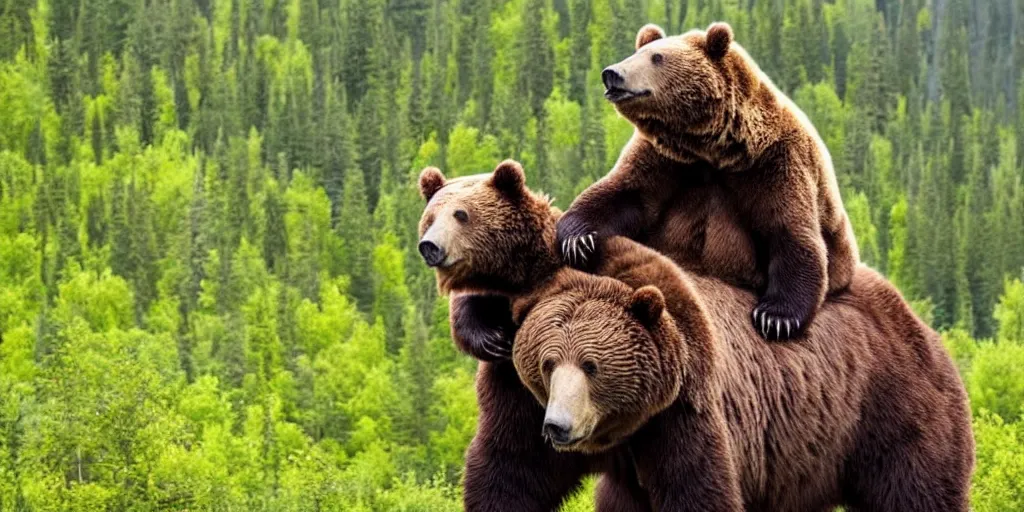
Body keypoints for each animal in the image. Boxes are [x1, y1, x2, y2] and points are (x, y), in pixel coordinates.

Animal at [516, 237, 970, 509]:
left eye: (592, 366)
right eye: (548, 364)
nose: (558, 426)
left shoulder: (686, 418)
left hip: (892, 414)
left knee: (919, 491)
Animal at [557, 20, 860, 339]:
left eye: (657, 57)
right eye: (636, 52)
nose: (612, 74)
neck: (713, 148)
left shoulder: (775, 163)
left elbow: (789, 230)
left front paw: (776, 318)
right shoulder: (668, 158)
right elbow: (624, 194)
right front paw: (578, 239)